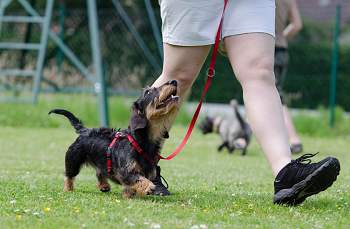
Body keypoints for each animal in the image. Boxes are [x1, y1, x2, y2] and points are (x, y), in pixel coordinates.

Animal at [49, 79, 179, 198]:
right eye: (148, 92)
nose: (173, 81)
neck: (138, 142)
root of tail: (85, 131)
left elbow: (131, 185)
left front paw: (129, 195)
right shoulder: (124, 172)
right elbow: (137, 178)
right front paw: (149, 187)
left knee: (99, 172)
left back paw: (104, 185)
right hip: (73, 161)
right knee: (68, 175)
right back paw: (68, 188)